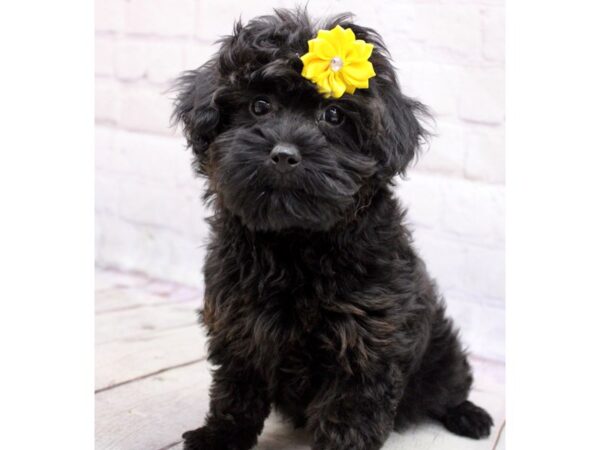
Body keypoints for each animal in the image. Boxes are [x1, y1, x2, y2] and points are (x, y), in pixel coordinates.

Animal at [172, 7, 492, 450]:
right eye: (259, 106)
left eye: (334, 115)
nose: (284, 155)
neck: (294, 242)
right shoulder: (237, 322)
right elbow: (236, 390)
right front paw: (220, 436)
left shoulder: (367, 340)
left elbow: (349, 414)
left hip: (441, 356)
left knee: (451, 386)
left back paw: (470, 416)